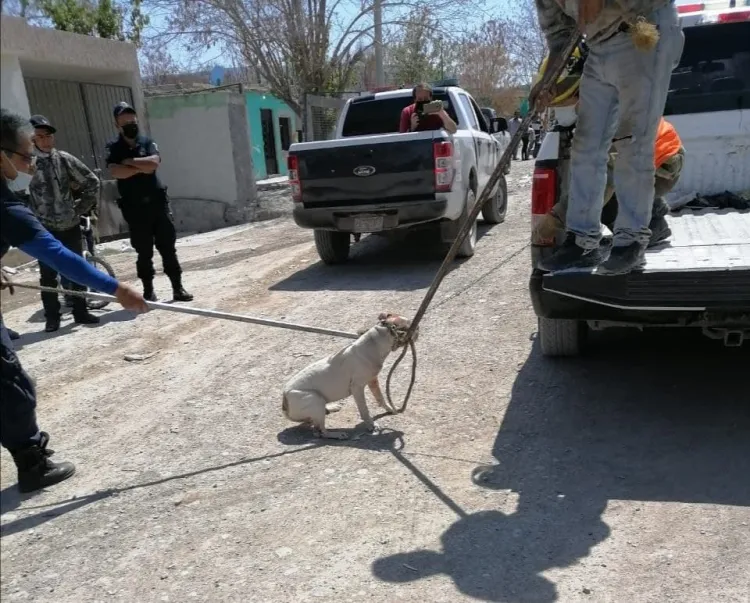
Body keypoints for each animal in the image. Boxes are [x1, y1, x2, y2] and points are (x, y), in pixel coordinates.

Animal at [282, 314, 418, 442]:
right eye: (410, 326)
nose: (419, 329)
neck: (375, 341)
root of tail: (284, 399)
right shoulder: (357, 388)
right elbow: (364, 410)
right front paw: (371, 425)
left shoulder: (373, 380)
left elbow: (380, 398)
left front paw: (390, 409)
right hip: (314, 399)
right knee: (320, 432)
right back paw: (337, 434)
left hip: (317, 403)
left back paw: (330, 408)